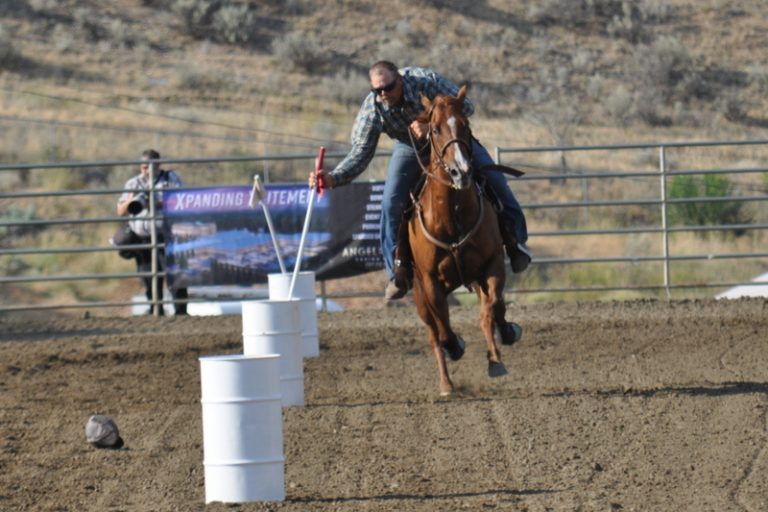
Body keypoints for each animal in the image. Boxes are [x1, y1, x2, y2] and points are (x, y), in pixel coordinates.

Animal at [400, 85, 522, 396]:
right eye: (434, 129)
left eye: (465, 125)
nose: (462, 171)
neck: (451, 217)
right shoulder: (430, 281)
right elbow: (444, 327)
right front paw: (455, 346)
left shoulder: (492, 265)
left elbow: (492, 308)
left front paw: (499, 351)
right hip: (418, 293)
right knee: (434, 332)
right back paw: (446, 383)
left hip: (474, 278)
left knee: (487, 309)